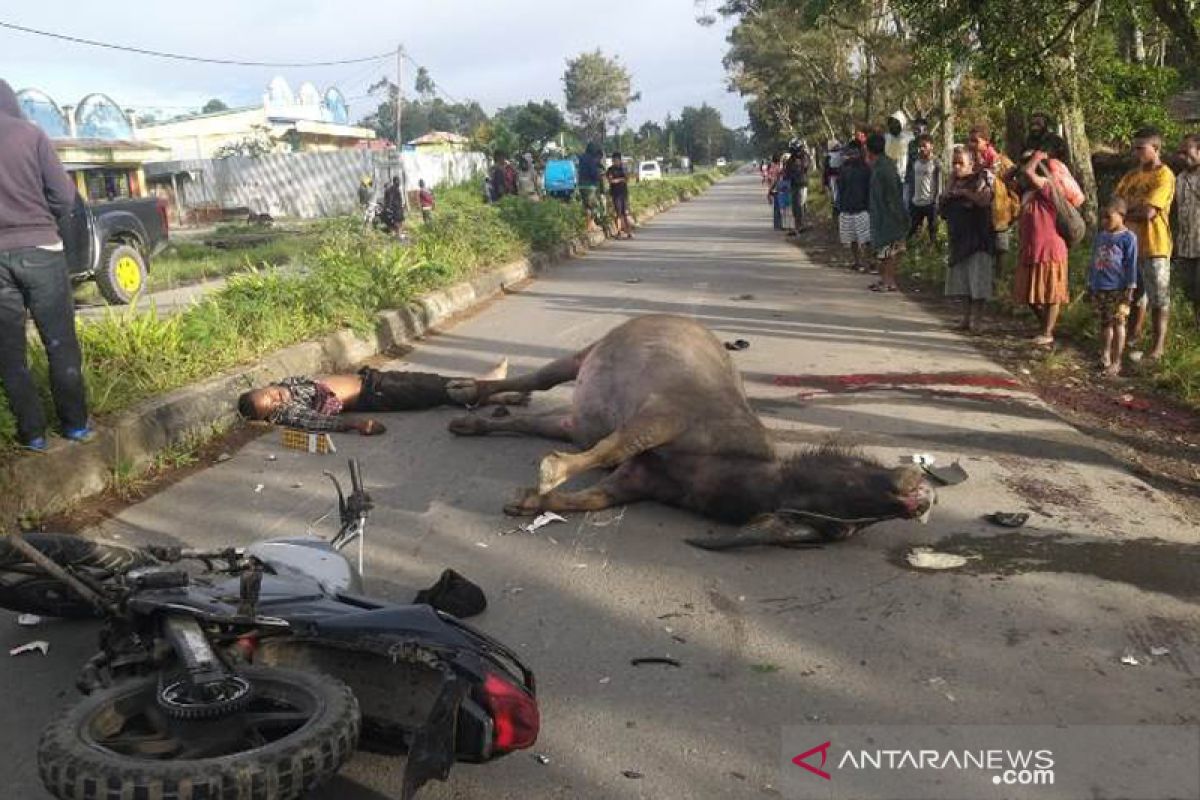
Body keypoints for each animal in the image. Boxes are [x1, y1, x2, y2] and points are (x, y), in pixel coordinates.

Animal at [446, 314, 931, 551]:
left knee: (532, 421)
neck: (719, 468)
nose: (918, 495)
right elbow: (613, 448)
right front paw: (550, 473)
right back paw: (465, 390)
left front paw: (528, 499)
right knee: (538, 380)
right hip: (584, 355)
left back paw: (469, 421)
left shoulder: (635, 482)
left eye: (847, 527)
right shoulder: (663, 416)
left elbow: (585, 499)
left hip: (574, 423)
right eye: (853, 471)